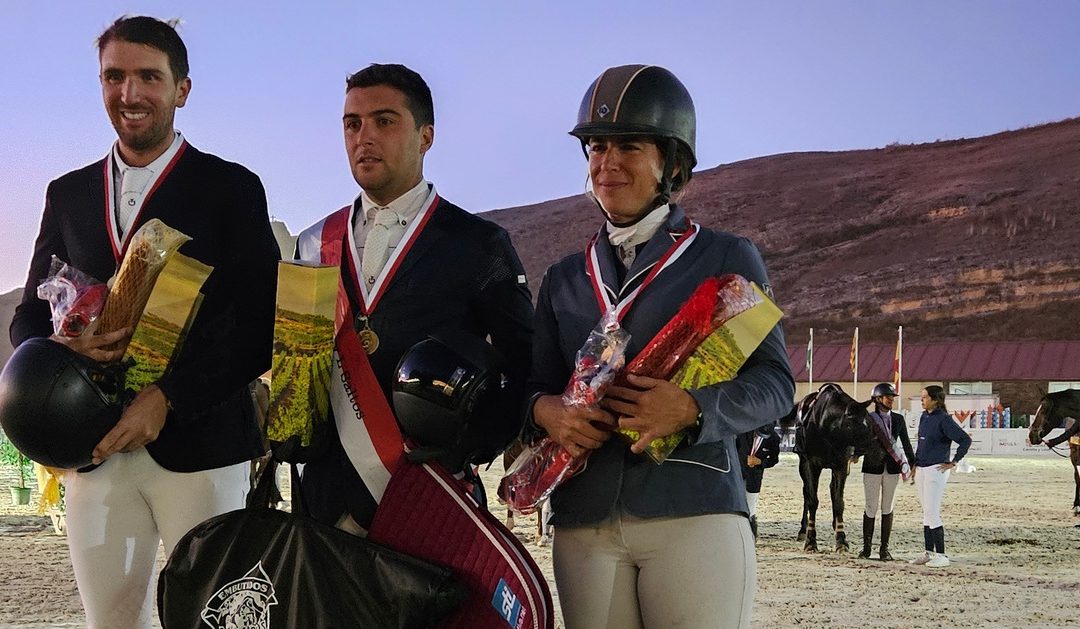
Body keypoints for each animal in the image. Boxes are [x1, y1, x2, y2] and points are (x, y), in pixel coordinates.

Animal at [786, 384, 876, 553]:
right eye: (859, 423)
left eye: (869, 419)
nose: (875, 441)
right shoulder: (810, 465)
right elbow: (812, 500)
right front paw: (810, 541)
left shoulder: (841, 466)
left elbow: (839, 501)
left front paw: (841, 540)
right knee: (806, 493)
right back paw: (803, 530)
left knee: (833, 491)